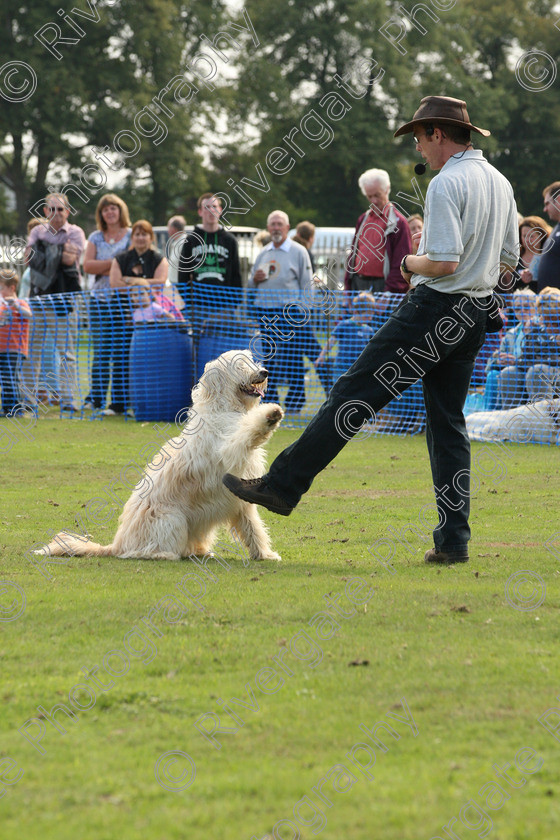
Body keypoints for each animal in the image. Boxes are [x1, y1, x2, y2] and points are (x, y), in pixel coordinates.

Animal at [38, 352, 284, 560]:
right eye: (239, 364)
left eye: (250, 359)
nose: (264, 372)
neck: (225, 408)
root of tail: (117, 545)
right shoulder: (230, 450)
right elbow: (247, 434)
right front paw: (269, 415)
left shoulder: (241, 501)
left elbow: (253, 528)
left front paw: (265, 554)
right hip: (172, 519)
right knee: (148, 550)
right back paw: (164, 554)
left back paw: (200, 552)